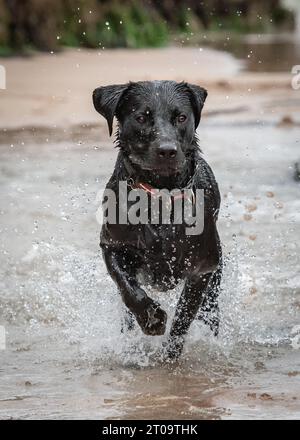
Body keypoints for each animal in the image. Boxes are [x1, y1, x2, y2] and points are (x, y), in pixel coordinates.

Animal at [92, 81, 221, 360]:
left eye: (181, 117)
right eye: (141, 117)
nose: (167, 151)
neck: (161, 193)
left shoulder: (203, 267)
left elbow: (184, 314)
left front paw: (170, 354)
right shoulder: (112, 245)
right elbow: (128, 289)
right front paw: (152, 319)